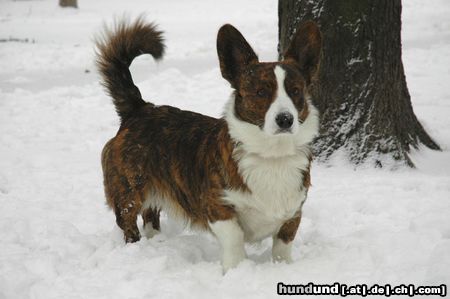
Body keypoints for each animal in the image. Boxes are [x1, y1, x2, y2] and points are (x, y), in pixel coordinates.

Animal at [96, 17, 320, 274]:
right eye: (261, 92)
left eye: (296, 91)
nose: (285, 119)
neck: (271, 154)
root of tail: (140, 108)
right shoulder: (218, 208)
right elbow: (234, 238)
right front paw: (235, 270)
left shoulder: (293, 213)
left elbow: (283, 246)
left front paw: (282, 267)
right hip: (129, 191)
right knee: (129, 222)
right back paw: (137, 249)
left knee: (151, 215)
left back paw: (157, 242)